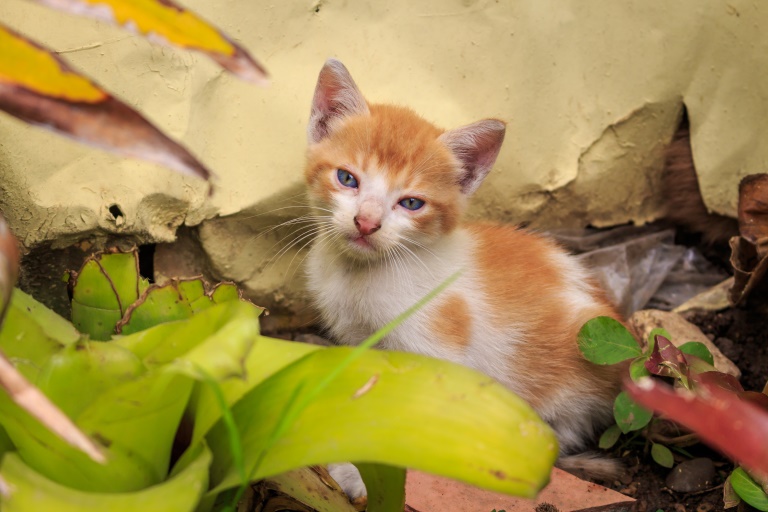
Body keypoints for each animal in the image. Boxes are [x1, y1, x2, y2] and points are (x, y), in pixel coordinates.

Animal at [302, 58, 624, 498]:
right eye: (347, 178)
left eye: (411, 203)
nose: (366, 223)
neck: (362, 272)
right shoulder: (360, 339)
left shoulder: (437, 349)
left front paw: (358, 471)